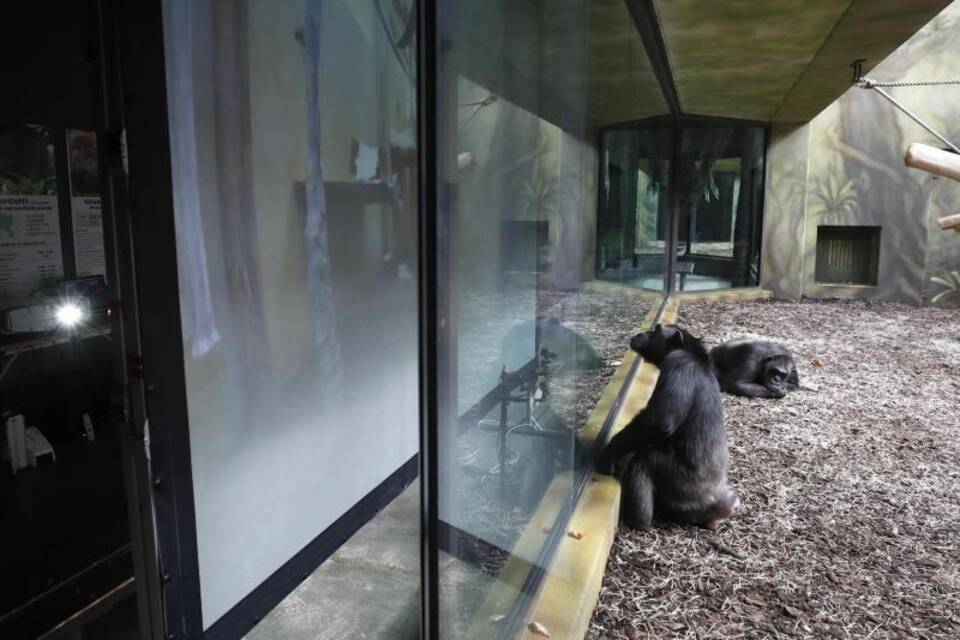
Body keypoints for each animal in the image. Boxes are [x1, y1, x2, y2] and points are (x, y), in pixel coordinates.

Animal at [596, 324, 740, 528]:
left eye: (656, 330)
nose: (643, 333)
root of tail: (717, 506)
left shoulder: (677, 364)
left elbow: (658, 421)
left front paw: (609, 453)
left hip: (684, 488)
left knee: (644, 459)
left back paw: (638, 520)